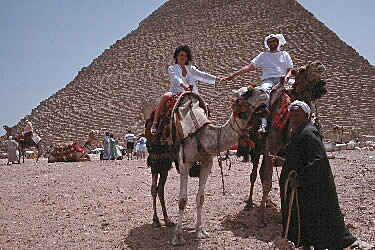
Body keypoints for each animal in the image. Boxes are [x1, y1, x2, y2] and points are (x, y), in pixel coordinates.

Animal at [172, 86, 268, 246]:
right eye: (245, 93)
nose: (264, 91)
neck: (203, 135)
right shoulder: (184, 163)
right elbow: (182, 200)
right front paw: (178, 236)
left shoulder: (207, 162)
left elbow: (200, 197)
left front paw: (200, 231)